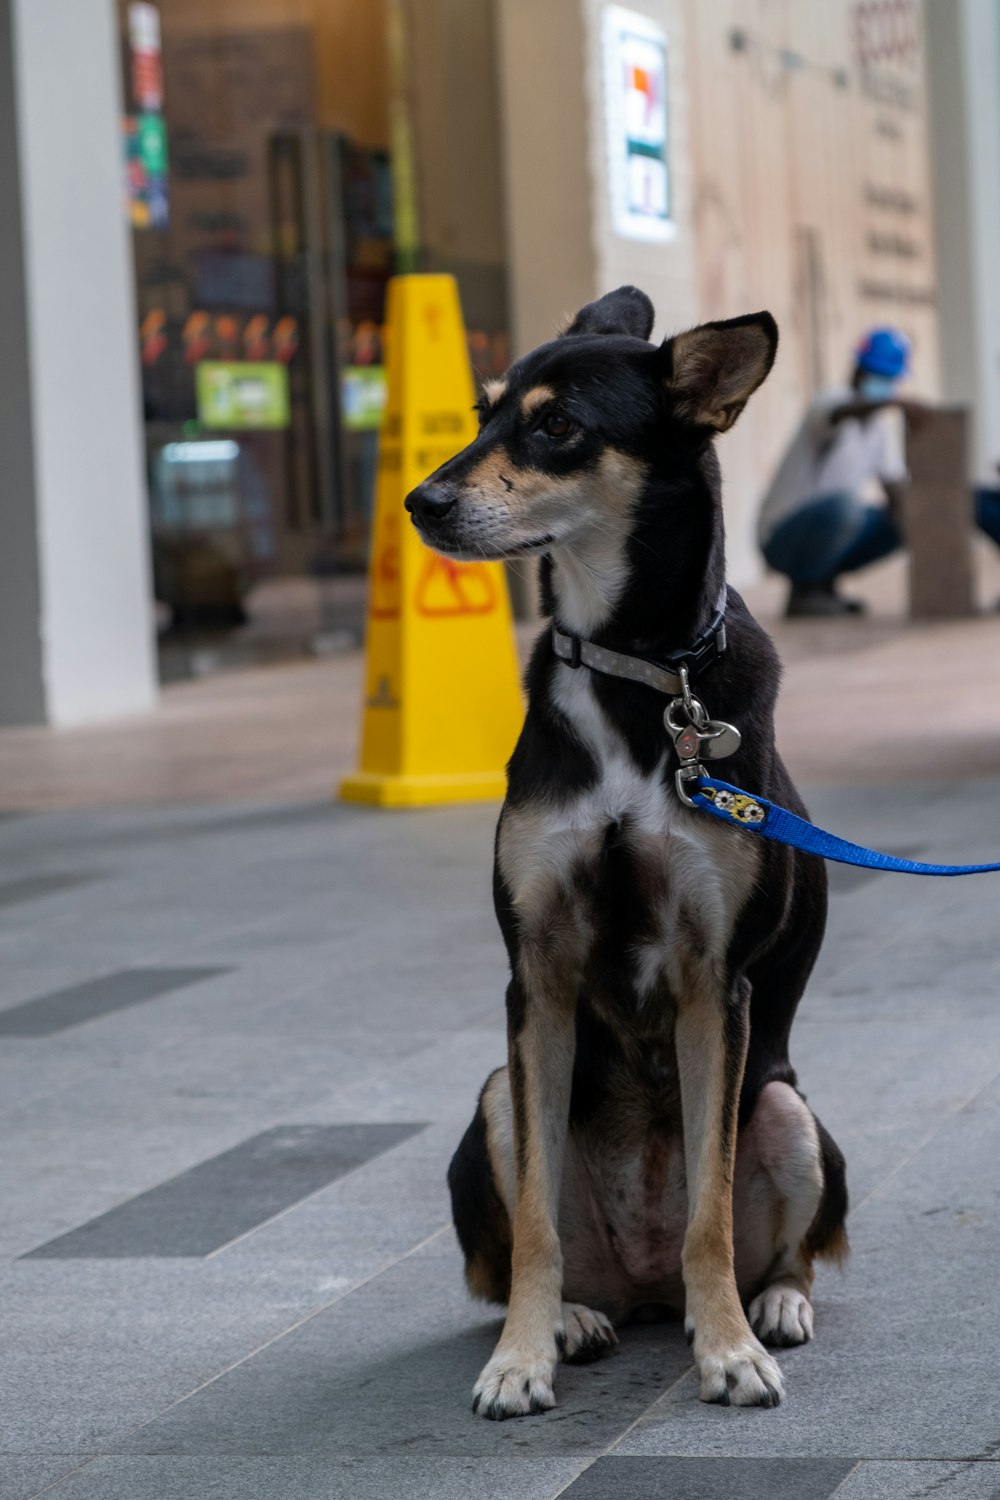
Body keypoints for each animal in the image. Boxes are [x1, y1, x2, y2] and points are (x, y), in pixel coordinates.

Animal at [401, 283, 851, 1416]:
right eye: (480, 413)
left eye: (558, 426)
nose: (420, 503)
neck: (635, 669)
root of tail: (643, 1293)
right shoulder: (538, 978)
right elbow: (535, 1224)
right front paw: (519, 1357)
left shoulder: (713, 982)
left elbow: (709, 1207)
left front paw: (728, 1351)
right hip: (498, 1093)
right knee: (531, 1233)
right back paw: (573, 1318)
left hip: (784, 1106)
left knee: (777, 1242)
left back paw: (771, 1306)